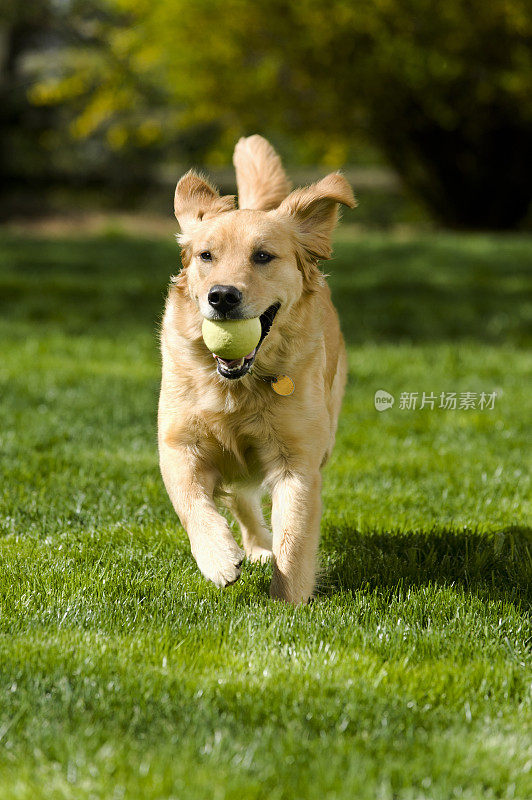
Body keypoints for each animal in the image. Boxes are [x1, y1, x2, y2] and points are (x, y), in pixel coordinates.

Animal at [159, 134, 358, 604]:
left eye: (263, 256)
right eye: (206, 256)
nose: (222, 296)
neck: (236, 384)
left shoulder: (297, 462)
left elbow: (295, 537)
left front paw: (288, 603)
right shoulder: (176, 443)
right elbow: (191, 502)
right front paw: (217, 556)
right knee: (240, 497)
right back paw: (250, 548)